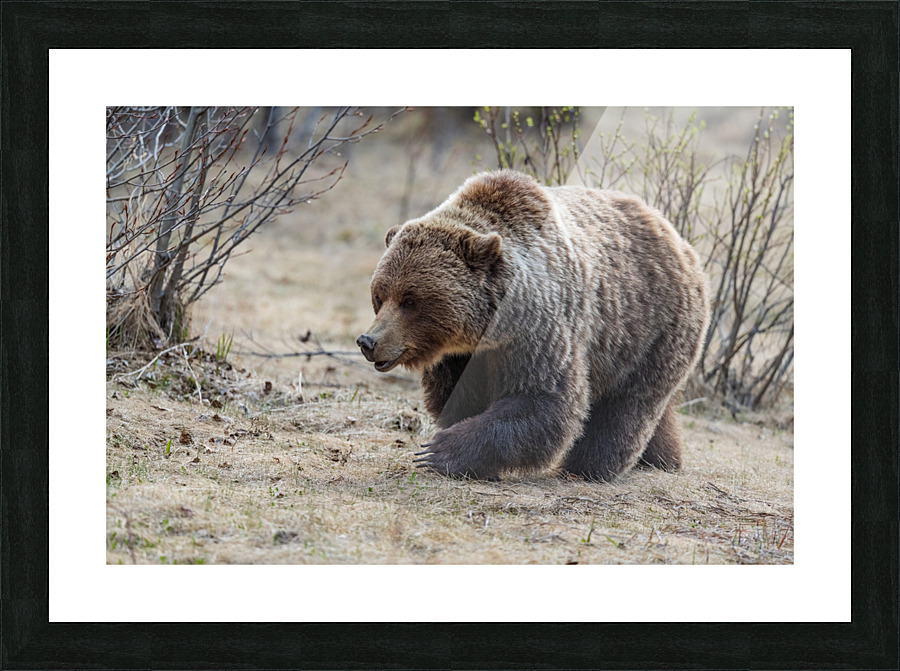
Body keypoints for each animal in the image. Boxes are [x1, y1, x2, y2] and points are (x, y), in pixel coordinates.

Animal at [357, 170, 710, 482]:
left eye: (410, 300)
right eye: (380, 295)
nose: (368, 341)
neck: (486, 332)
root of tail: (680, 240)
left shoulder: (538, 327)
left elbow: (544, 398)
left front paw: (441, 451)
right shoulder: (461, 357)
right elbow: (458, 396)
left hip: (652, 329)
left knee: (628, 404)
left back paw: (590, 467)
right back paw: (663, 459)